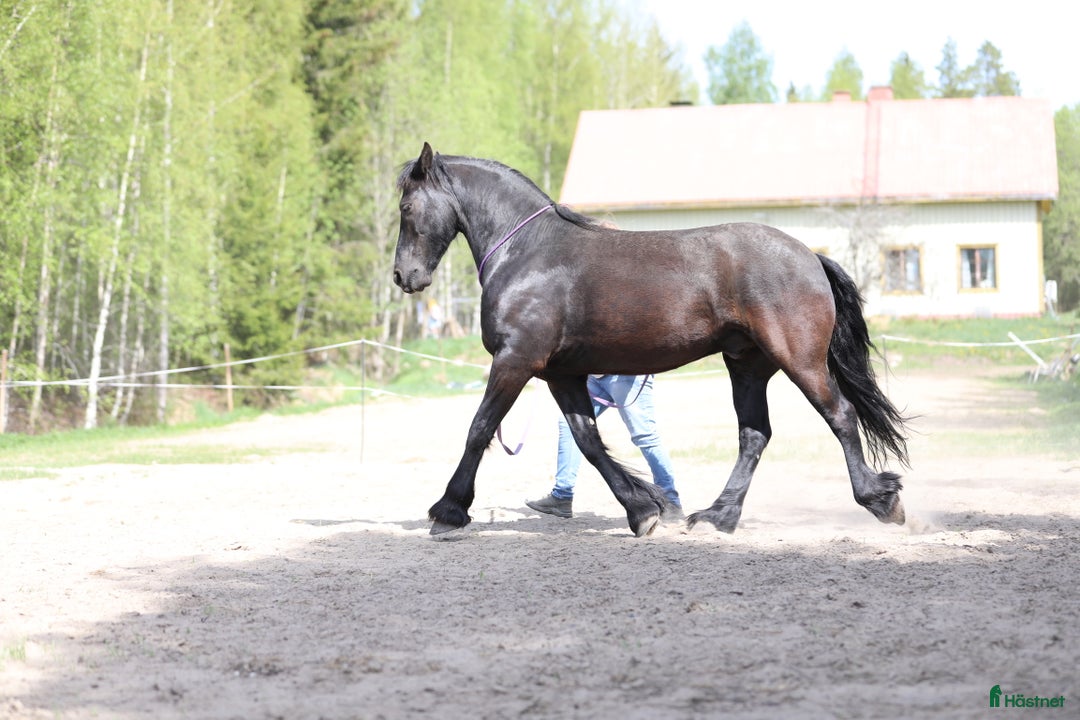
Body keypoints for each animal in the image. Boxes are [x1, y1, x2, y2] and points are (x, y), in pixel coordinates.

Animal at [392, 142, 909, 537]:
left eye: (405, 207)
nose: (403, 276)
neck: (528, 254)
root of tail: (810, 256)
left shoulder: (515, 360)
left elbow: (479, 428)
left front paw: (449, 510)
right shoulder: (562, 373)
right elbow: (588, 441)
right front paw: (643, 510)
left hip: (799, 360)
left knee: (840, 415)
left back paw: (880, 500)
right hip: (747, 365)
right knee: (754, 435)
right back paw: (718, 516)